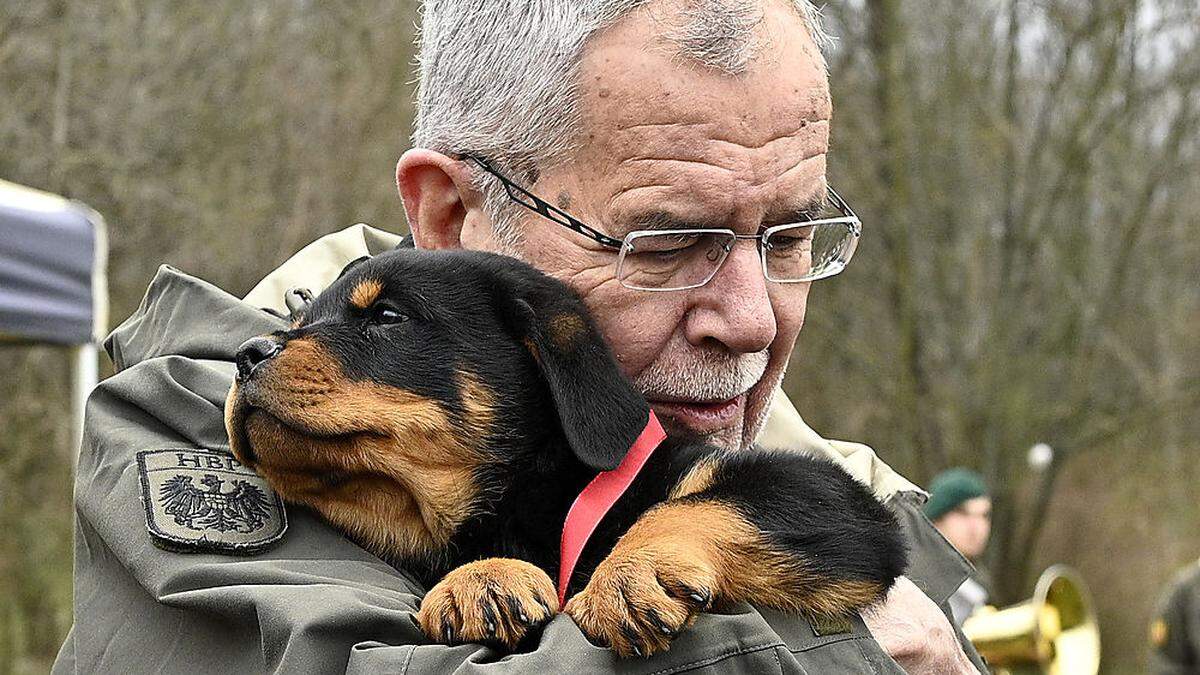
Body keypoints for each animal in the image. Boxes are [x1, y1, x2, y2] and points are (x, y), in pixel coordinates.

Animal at [225, 249, 902, 653]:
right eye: (296, 320)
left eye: (386, 316)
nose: (245, 353)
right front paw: (482, 580)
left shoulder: (836, 504)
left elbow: (706, 504)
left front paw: (632, 572)